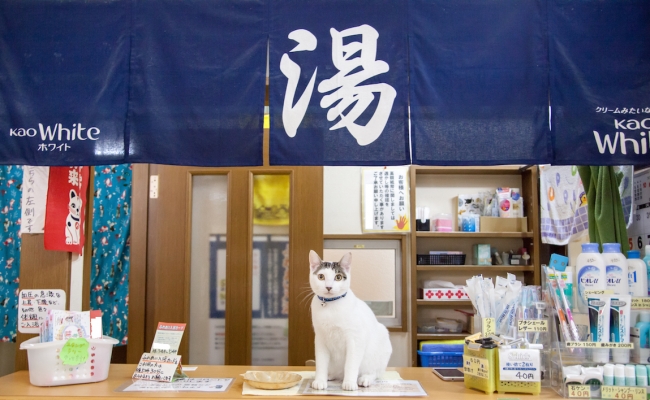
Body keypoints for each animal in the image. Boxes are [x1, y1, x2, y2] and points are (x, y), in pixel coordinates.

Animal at [308, 250, 392, 390]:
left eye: (338, 277)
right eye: (321, 276)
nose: (329, 287)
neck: (330, 306)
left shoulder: (355, 339)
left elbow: (351, 364)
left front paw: (349, 383)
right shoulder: (320, 339)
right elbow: (321, 363)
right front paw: (320, 380)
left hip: (381, 345)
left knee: (374, 373)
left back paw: (364, 379)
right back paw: (330, 375)